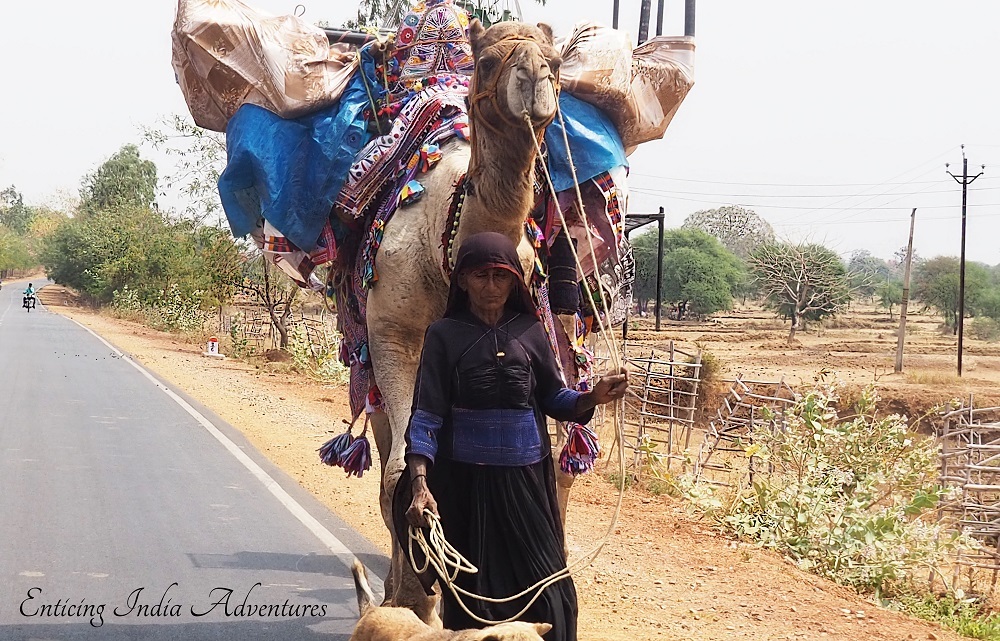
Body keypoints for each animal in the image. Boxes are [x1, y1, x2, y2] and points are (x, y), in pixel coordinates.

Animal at [366, 18, 568, 620]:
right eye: (487, 61)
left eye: (556, 60)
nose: (533, 77)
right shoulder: (395, 333)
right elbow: (402, 470)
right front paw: (416, 595)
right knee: (387, 457)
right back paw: (401, 591)